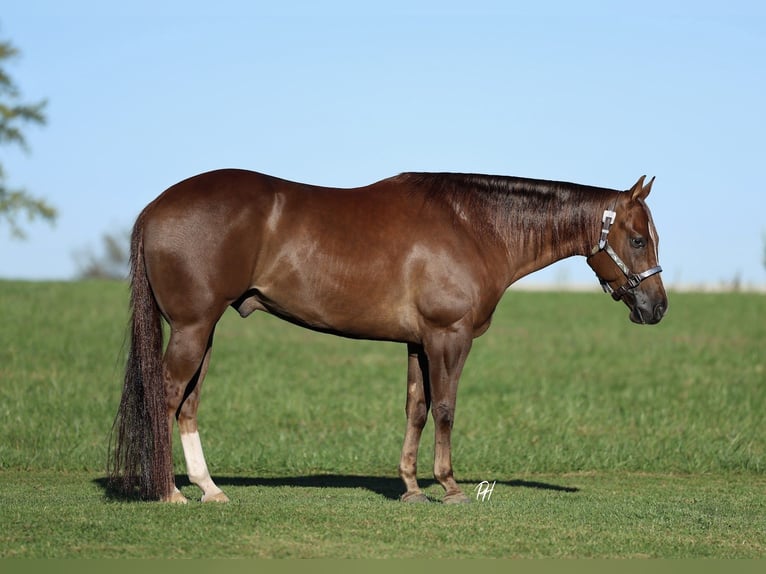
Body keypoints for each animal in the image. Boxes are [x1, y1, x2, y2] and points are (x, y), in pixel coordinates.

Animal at [108, 170, 667, 504]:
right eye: (639, 240)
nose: (657, 307)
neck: (474, 226)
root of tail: (155, 207)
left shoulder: (419, 342)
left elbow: (416, 408)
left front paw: (412, 488)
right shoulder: (448, 337)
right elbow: (446, 408)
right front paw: (450, 486)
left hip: (204, 332)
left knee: (188, 404)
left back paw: (209, 488)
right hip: (192, 328)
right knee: (166, 397)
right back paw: (170, 493)